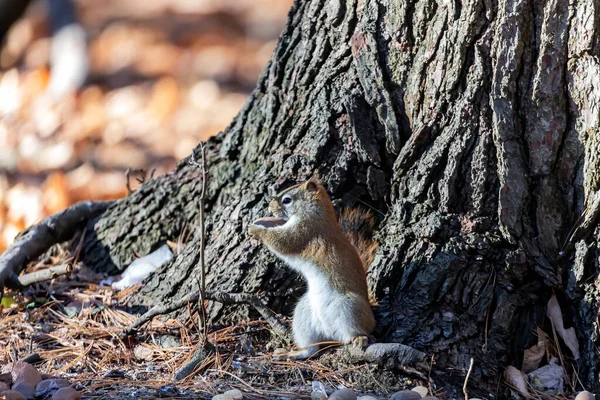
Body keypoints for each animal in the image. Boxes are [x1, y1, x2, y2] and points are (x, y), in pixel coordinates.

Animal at [248, 180, 376, 358]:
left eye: (287, 200)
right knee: (311, 349)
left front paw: (255, 230)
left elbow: (281, 241)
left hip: (350, 308)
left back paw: (359, 338)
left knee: (362, 330)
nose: (270, 208)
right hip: (303, 315)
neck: (318, 214)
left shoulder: (304, 231)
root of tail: (332, 332)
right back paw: (292, 353)